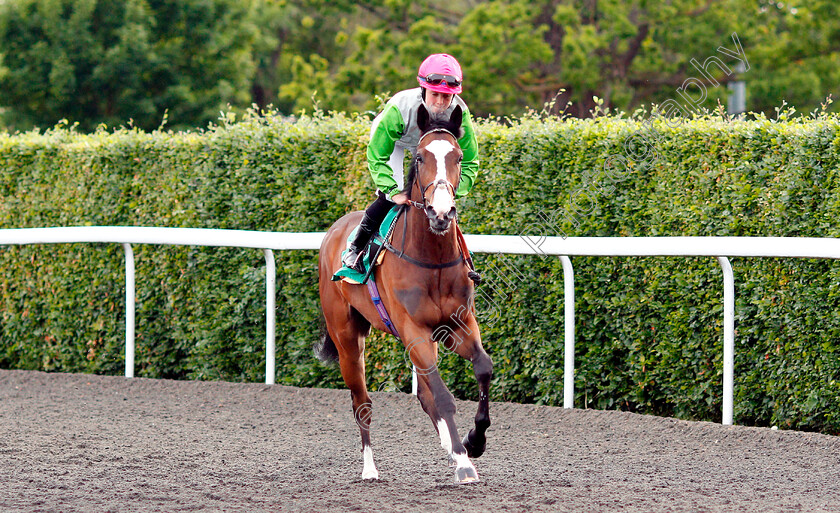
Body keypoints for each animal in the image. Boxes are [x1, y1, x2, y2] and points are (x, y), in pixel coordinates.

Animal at [318, 103, 496, 480]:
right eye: (419, 157)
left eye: (459, 156)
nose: (441, 212)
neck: (432, 258)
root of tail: (335, 230)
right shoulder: (415, 330)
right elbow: (443, 396)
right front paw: (465, 461)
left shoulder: (456, 325)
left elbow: (483, 368)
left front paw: (473, 442)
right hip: (347, 338)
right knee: (361, 402)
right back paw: (370, 468)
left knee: (424, 397)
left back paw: (452, 448)